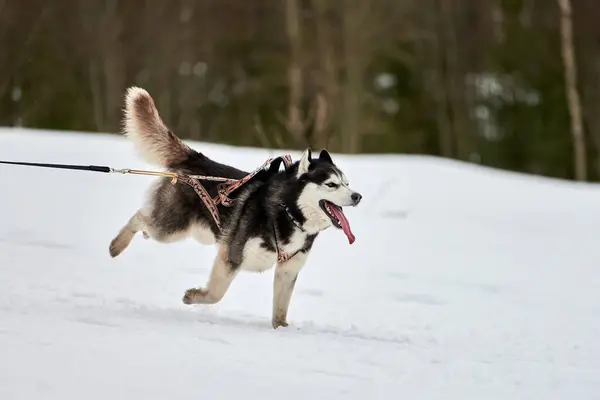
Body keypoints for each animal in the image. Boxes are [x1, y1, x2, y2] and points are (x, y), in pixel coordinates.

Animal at [108, 86, 364, 328]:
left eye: (346, 183)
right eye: (331, 184)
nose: (357, 196)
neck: (287, 211)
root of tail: (196, 158)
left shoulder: (288, 270)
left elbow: (280, 309)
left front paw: (281, 329)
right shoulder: (231, 255)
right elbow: (216, 294)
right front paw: (193, 296)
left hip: (199, 232)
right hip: (170, 229)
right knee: (140, 217)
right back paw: (118, 245)